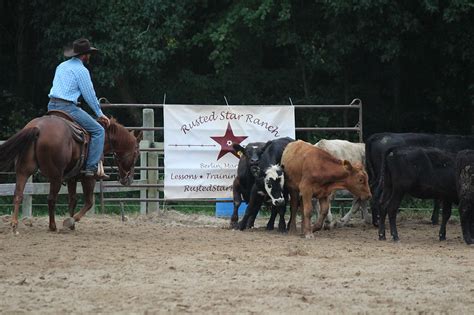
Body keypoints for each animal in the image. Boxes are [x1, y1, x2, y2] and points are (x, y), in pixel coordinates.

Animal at [0, 115, 142, 233]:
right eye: (136, 153)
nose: (128, 180)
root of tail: (38, 127)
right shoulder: (89, 178)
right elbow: (89, 202)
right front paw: (70, 221)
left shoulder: (72, 178)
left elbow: (72, 200)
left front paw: (72, 225)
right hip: (55, 176)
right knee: (51, 199)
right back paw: (52, 226)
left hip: (24, 170)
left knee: (18, 194)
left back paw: (14, 225)